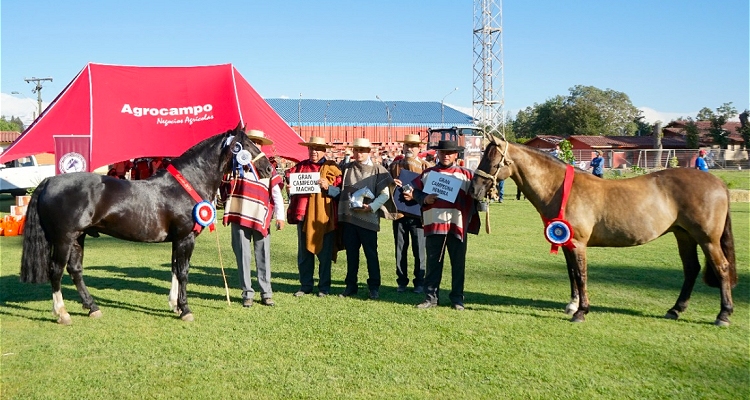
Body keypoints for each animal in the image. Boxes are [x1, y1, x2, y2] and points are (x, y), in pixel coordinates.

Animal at [19, 123, 274, 324]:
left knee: (75, 270)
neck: (186, 184)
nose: (270, 168)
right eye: (246, 145)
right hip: (63, 239)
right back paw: (62, 314)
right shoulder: (185, 238)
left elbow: (174, 269)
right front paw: (185, 310)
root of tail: (49, 180)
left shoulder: (177, 240)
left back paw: (92, 307)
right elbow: (183, 272)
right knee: (56, 271)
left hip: (78, 238)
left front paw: (174, 305)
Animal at [470, 137, 740, 324]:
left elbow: (581, 275)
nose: (474, 189)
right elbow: (572, 274)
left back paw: (723, 315)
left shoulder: (577, 242)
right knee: (691, 270)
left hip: (707, 239)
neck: (561, 189)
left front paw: (581, 312)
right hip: (684, 235)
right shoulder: (567, 242)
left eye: (491, 161)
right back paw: (675, 310)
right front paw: (572, 305)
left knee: (722, 268)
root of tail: (718, 183)